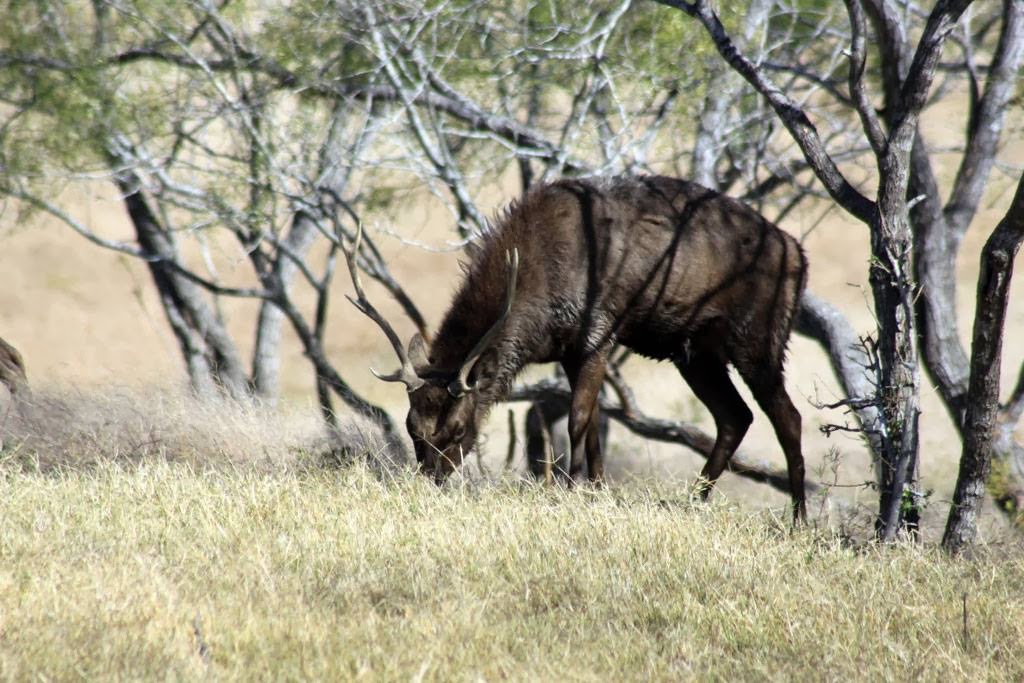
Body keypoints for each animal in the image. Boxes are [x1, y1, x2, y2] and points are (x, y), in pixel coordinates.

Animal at [350, 175, 806, 518]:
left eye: (459, 429)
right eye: (412, 427)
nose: (431, 481)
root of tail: (798, 254)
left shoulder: (598, 333)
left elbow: (577, 420)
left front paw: (571, 490)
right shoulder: (571, 351)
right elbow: (594, 428)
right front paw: (599, 490)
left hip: (760, 334)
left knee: (788, 417)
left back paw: (799, 519)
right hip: (695, 351)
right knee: (736, 416)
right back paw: (692, 501)